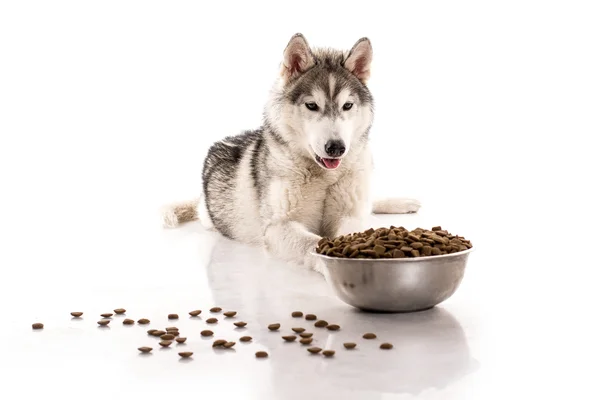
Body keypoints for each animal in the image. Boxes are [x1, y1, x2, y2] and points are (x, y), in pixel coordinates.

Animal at [162, 33, 420, 272]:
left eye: (347, 105)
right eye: (312, 105)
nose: (336, 148)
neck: (324, 176)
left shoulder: (350, 215)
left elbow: (359, 229)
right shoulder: (279, 226)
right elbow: (313, 244)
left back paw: (402, 202)